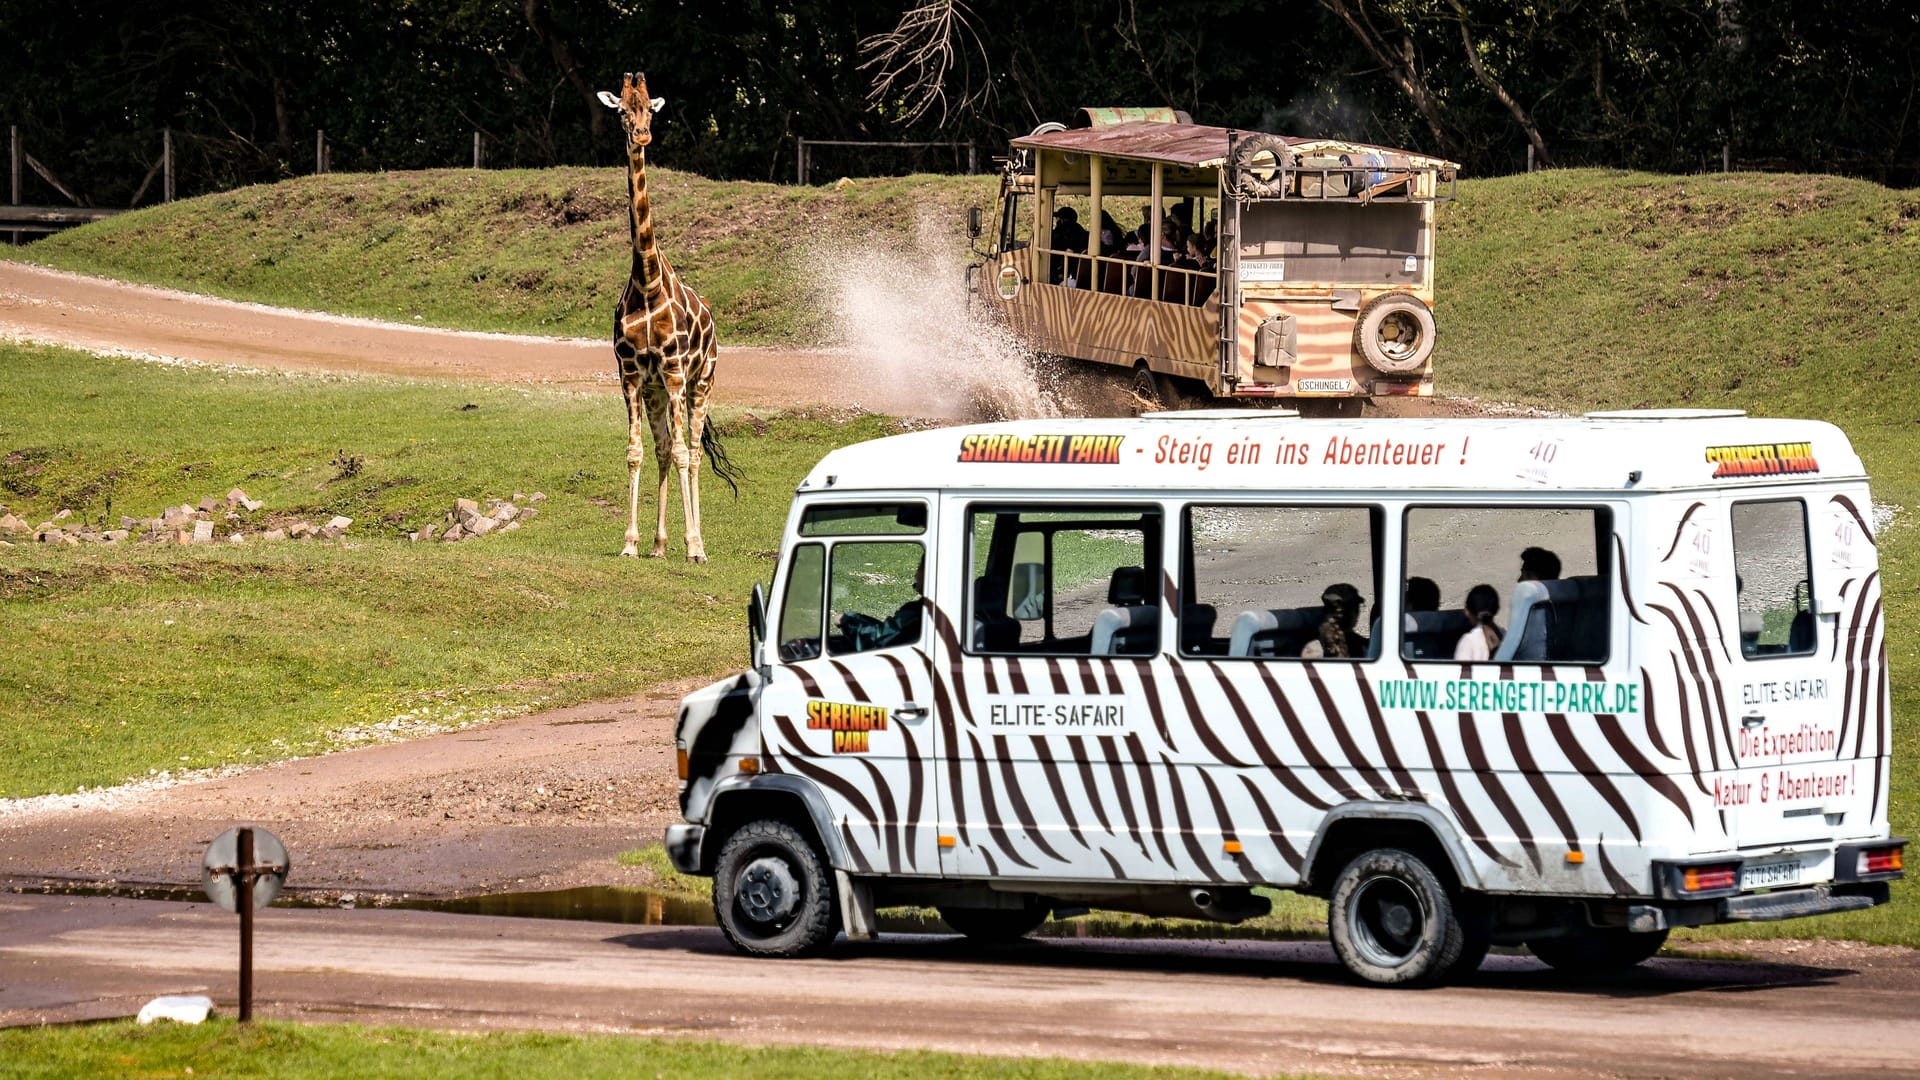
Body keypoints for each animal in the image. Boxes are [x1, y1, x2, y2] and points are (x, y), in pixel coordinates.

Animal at [591, 70, 733, 557]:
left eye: (650, 109)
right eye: (621, 110)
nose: (641, 135)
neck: (648, 282)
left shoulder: (673, 372)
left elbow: (686, 453)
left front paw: (694, 546)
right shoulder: (633, 375)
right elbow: (637, 452)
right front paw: (631, 543)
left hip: (701, 382)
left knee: (692, 450)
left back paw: (697, 542)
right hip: (657, 391)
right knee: (664, 448)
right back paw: (658, 542)